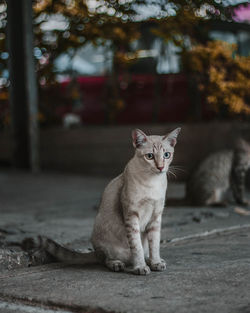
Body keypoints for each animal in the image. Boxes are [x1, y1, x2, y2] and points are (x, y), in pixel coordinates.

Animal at [24, 128, 181, 274]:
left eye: (166, 155)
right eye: (150, 156)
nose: (160, 167)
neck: (152, 183)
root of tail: (96, 251)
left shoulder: (156, 215)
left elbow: (154, 244)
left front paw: (155, 263)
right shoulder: (132, 215)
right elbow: (137, 247)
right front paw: (140, 267)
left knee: (141, 251)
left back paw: (151, 260)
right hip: (105, 243)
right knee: (106, 259)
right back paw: (117, 264)